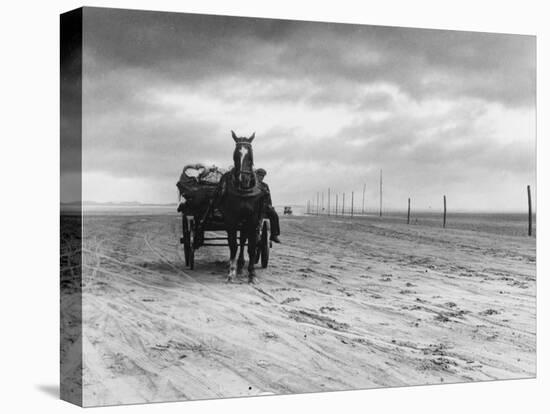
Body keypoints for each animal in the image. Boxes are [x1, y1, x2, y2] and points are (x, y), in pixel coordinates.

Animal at [218, 131, 266, 284]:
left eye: (250, 154)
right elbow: (233, 245)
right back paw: (237, 266)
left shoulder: (252, 219)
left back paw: (241, 265)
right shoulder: (231, 219)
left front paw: (252, 274)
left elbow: (251, 247)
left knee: (244, 240)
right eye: (235, 154)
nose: (243, 179)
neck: (245, 191)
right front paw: (231, 272)